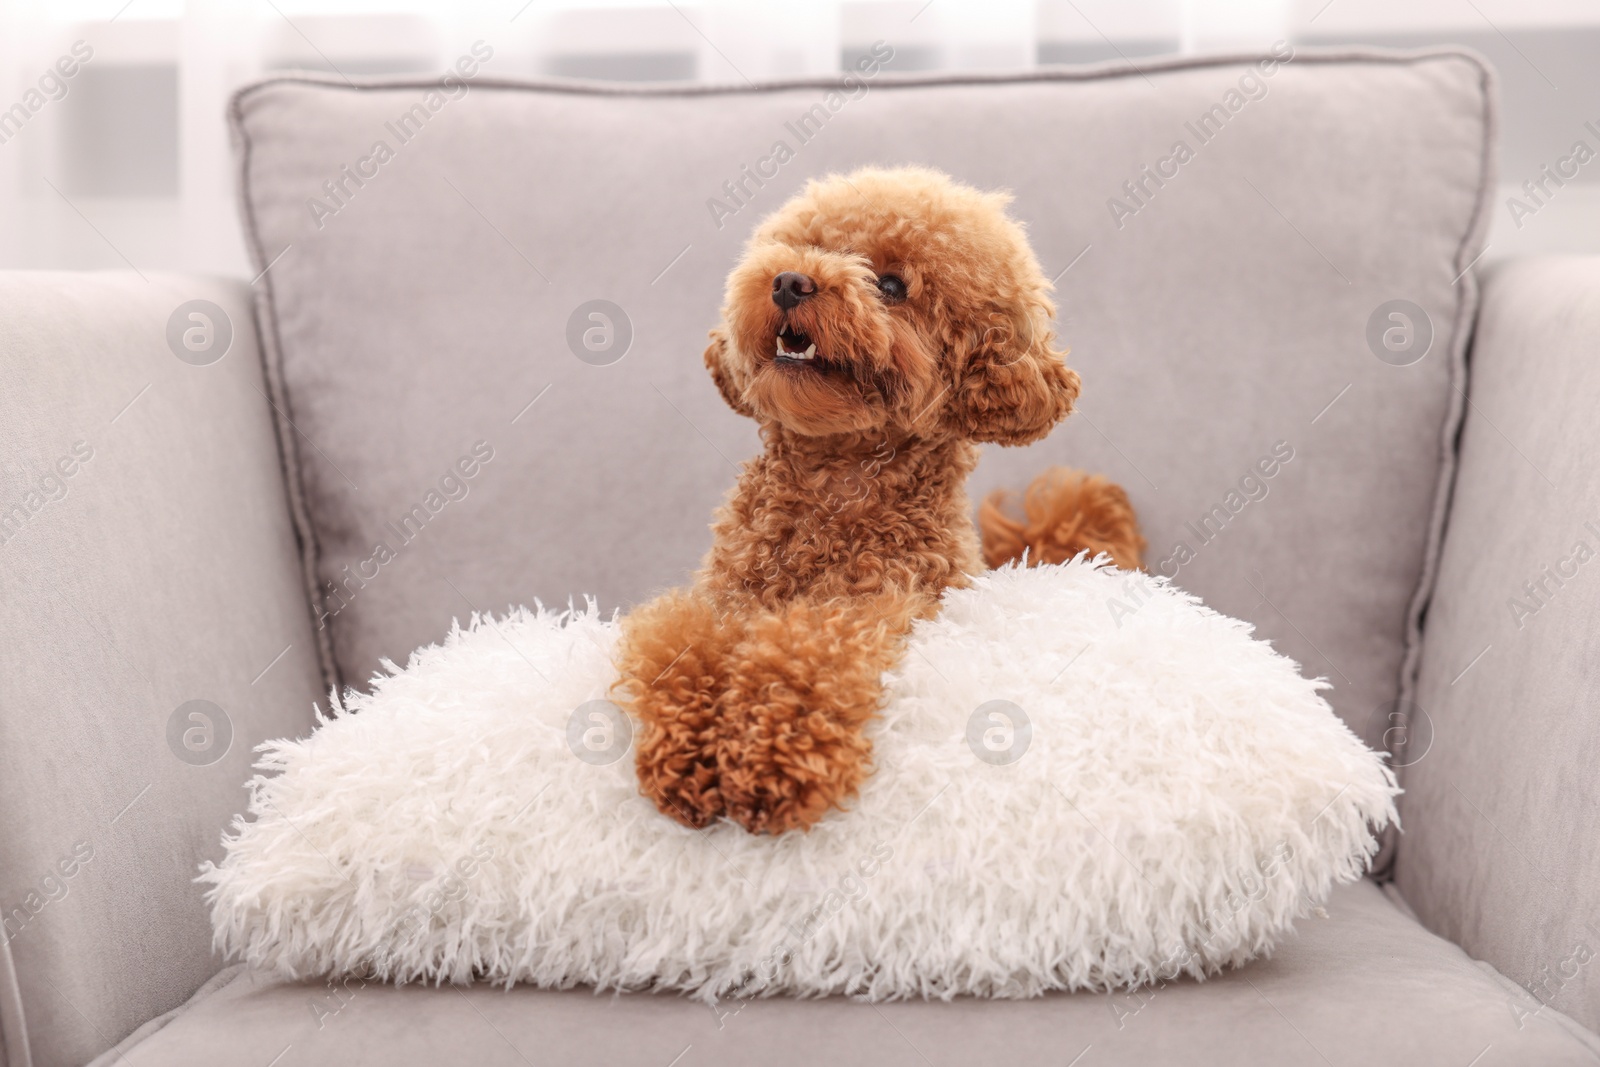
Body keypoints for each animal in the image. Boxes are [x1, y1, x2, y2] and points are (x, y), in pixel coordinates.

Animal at [617, 164, 1145, 831]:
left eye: (891, 285)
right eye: (805, 247)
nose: (789, 281)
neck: (835, 485)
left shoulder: (886, 603)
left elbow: (807, 650)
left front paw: (769, 760)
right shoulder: (724, 598)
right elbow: (683, 643)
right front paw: (684, 753)